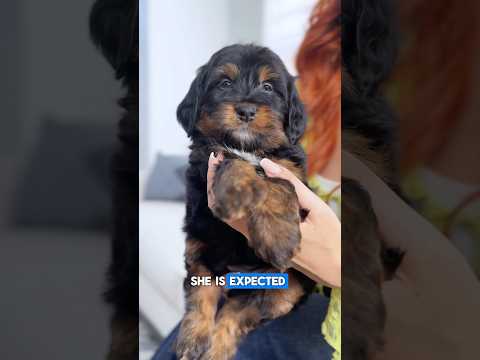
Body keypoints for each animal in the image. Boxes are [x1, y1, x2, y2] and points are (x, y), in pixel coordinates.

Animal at [174, 43, 316, 358]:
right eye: (225, 83)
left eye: (268, 87)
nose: (247, 110)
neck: (247, 145)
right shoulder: (207, 158)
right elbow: (230, 160)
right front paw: (238, 189)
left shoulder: (289, 169)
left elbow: (280, 183)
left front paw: (279, 239)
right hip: (199, 245)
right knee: (202, 292)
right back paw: (193, 338)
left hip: (274, 282)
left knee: (238, 312)